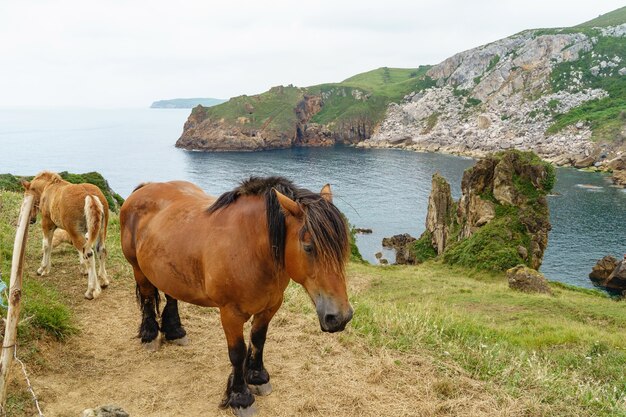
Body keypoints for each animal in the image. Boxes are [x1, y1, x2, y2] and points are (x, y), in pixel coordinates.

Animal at [21, 172, 109, 300]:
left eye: (26, 198)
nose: (31, 220)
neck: (48, 187)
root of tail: (90, 196)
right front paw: (83, 269)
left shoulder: (47, 223)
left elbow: (46, 245)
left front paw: (42, 269)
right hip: (100, 231)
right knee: (100, 251)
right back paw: (103, 281)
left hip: (76, 232)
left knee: (89, 254)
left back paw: (91, 291)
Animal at [118, 176, 352, 416]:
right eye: (308, 247)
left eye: (343, 248)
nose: (340, 318)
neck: (250, 248)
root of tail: (146, 187)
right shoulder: (230, 314)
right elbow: (237, 353)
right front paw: (241, 397)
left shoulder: (271, 306)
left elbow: (258, 340)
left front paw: (258, 377)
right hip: (138, 268)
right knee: (147, 298)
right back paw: (150, 336)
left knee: (170, 294)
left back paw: (175, 331)